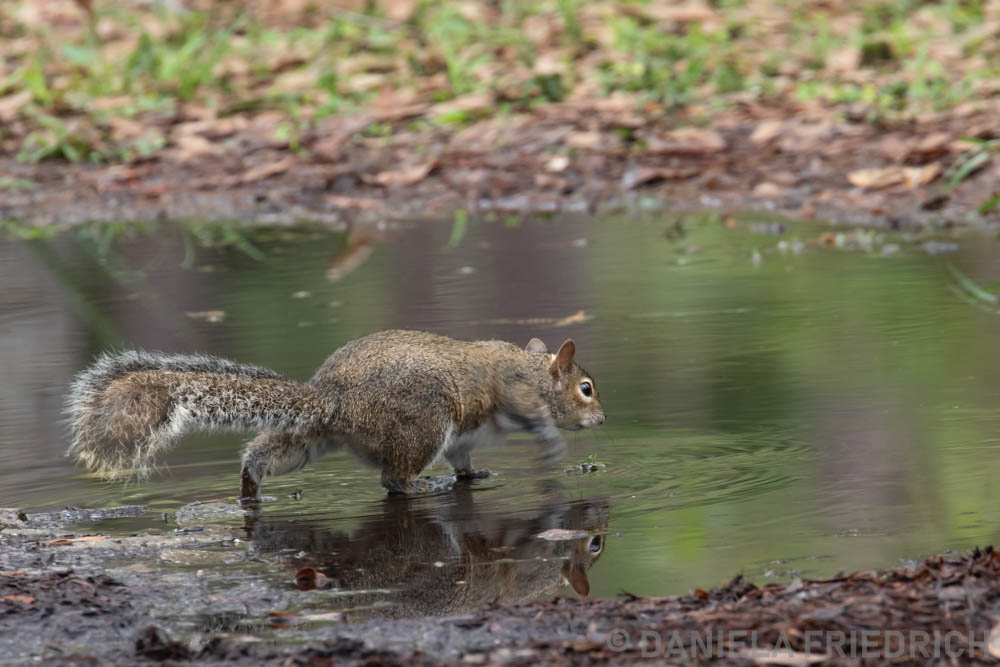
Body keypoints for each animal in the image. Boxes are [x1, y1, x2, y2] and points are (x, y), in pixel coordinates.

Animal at [68, 328, 608, 500]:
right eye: (586, 389)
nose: (602, 420)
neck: (533, 371)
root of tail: (333, 398)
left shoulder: (463, 441)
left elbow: (464, 462)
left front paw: (474, 476)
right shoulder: (514, 394)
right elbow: (532, 418)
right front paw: (552, 443)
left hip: (311, 440)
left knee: (264, 455)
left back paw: (249, 488)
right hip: (422, 426)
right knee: (394, 479)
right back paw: (421, 487)